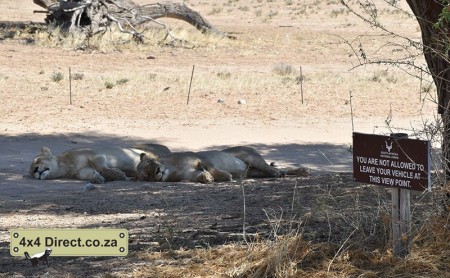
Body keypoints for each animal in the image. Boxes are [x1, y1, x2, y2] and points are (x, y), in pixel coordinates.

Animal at [29, 142, 171, 184]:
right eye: (30, 173)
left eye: (37, 161)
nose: (35, 170)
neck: (64, 166)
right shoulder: (81, 171)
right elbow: (90, 173)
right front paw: (97, 178)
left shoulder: (95, 155)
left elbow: (101, 167)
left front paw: (118, 174)